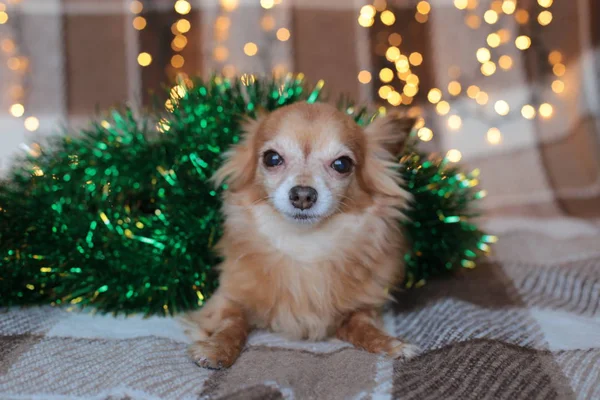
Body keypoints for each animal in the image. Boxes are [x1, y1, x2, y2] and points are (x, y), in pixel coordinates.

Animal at [185, 101, 420, 368]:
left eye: (342, 164)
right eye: (272, 158)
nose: (303, 195)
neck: (305, 246)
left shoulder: (363, 307)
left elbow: (363, 325)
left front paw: (391, 343)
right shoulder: (227, 299)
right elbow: (231, 322)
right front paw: (216, 347)